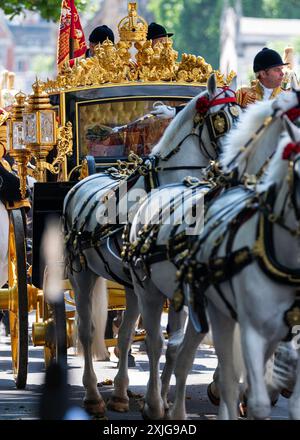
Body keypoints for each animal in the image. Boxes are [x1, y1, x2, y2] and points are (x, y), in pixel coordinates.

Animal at [63, 72, 239, 416]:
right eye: (222, 119)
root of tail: (85, 179)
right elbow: (157, 341)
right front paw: (157, 401)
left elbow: (170, 344)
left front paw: (164, 398)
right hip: (82, 274)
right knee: (87, 331)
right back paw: (93, 395)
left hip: (129, 283)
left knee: (125, 333)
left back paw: (120, 393)